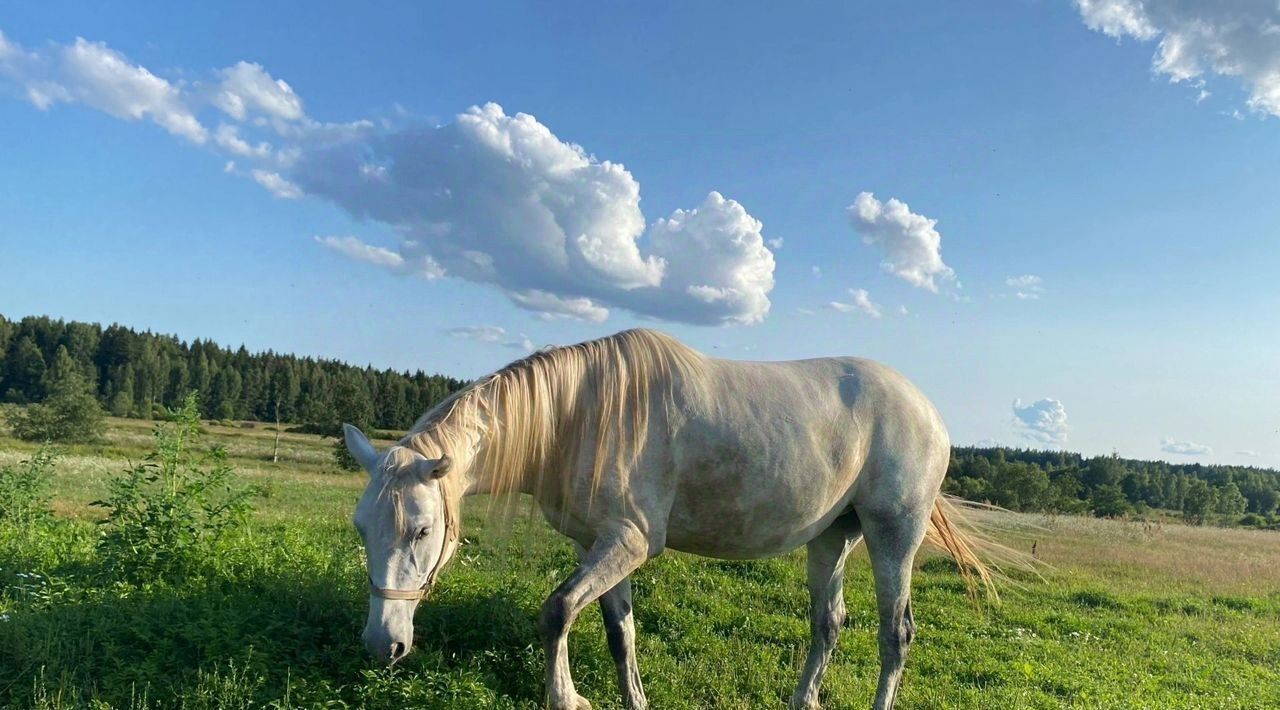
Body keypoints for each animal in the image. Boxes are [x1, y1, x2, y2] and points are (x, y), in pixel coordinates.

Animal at [345, 330, 993, 710]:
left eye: (422, 531)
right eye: (361, 529)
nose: (383, 644)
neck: (577, 415)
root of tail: (928, 410)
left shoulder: (630, 541)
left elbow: (557, 611)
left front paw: (564, 698)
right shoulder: (599, 545)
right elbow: (619, 633)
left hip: (892, 536)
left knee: (895, 633)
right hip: (833, 536)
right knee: (828, 623)